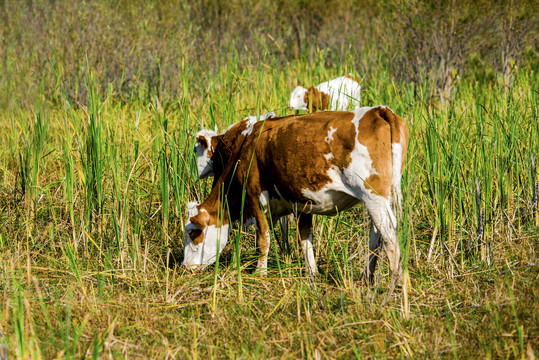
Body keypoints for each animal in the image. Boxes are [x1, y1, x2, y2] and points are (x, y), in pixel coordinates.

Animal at [185, 105, 410, 282]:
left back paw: (395, 284)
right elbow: (304, 240)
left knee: (390, 236)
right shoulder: (302, 202)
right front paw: (312, 275)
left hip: (373, 196)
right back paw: (366, 278)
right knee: (376, 236)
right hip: (380, 197)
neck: (246, 148)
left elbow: (263, 240)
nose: (185, 267)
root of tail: (379, 110)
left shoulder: (255, 198)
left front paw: (259, 274)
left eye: (193, 232)